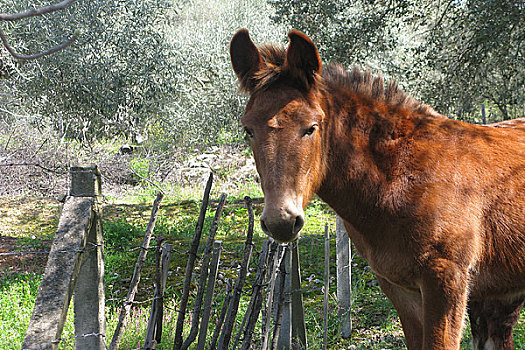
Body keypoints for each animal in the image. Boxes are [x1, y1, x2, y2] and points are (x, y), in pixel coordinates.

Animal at [229, 28, 524, 348]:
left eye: (311, 127)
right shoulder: (400, 289)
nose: (281, 221)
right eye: (247, 129)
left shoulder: (447, 279)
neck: (401, 179)